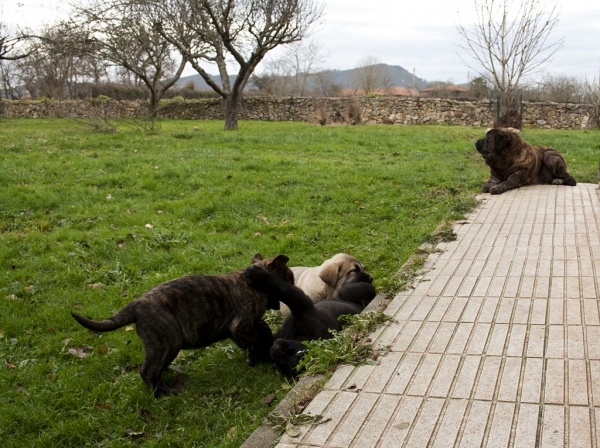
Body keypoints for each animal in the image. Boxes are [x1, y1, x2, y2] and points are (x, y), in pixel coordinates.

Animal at [71, 254, 292, 398]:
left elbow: (253, 336)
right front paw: (254, 358)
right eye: (289, 278)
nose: (292, 286)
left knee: (155, 367)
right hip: (168, 339)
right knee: (147, 371)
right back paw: (164, 394)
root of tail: (135, 306)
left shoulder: (238, 329)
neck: (253, 284)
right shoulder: (240, 325)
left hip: (161, 345)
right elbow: (253, 342)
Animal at [244, 264, 376, 376]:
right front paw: (261, 329)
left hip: (346, 291)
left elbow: (284, 290)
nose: (277, 350)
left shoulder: (302, 306)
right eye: (281, 364)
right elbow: (263, 347)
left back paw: (364, 277)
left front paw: (256, 275)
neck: (296, 337)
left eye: (298, 353)